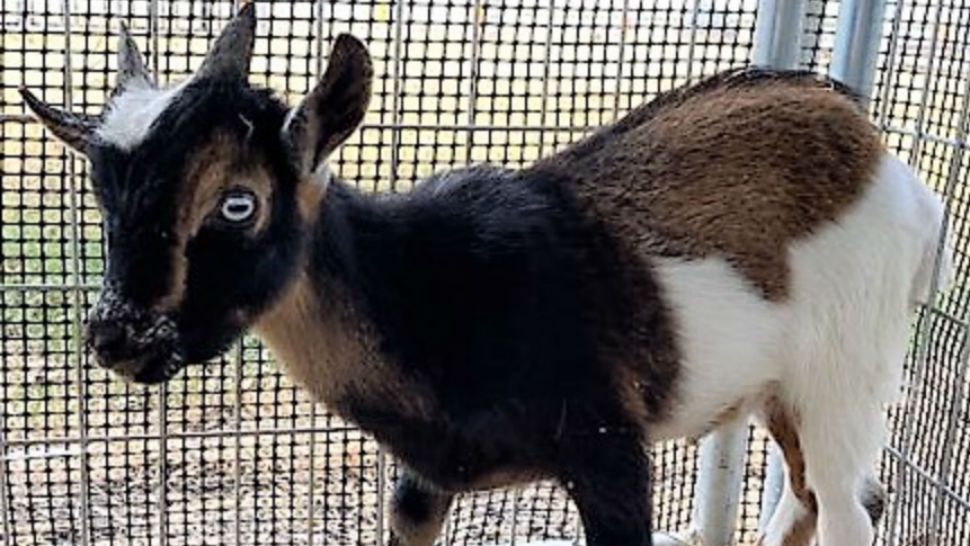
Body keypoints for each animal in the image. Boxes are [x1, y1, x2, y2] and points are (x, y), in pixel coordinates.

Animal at [18, 5, 948, 544]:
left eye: (237, 203)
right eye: (102, 196)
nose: (117, 336)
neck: (422, 288)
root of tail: (886, 161)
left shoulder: (608, 450)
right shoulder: (425, 482)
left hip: (846, 371)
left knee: (849, 507)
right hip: (781, 390)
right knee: (808, 499)